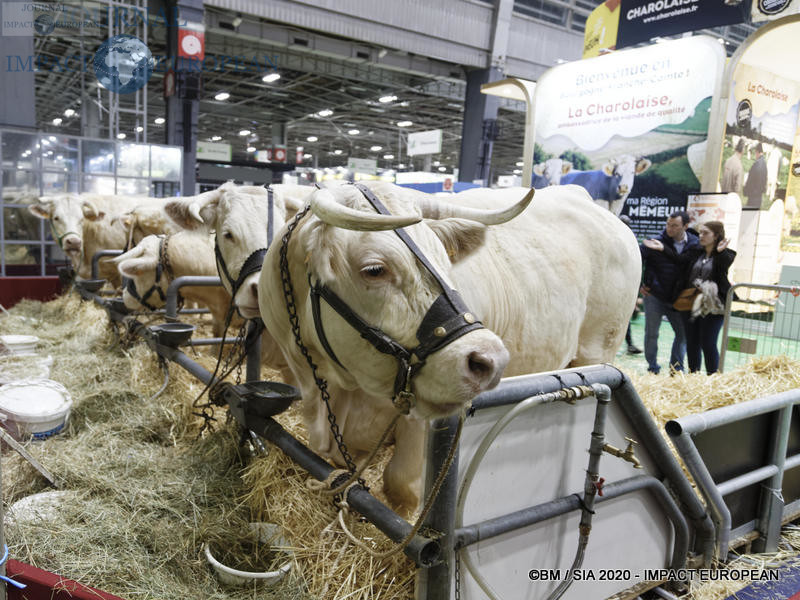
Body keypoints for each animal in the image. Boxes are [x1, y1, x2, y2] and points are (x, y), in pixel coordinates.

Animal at [260, 180, 640, 512]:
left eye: (445, 262)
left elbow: (402, 485)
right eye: (374, 269)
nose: (491, 359)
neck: (340, 390)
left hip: (598, 350)